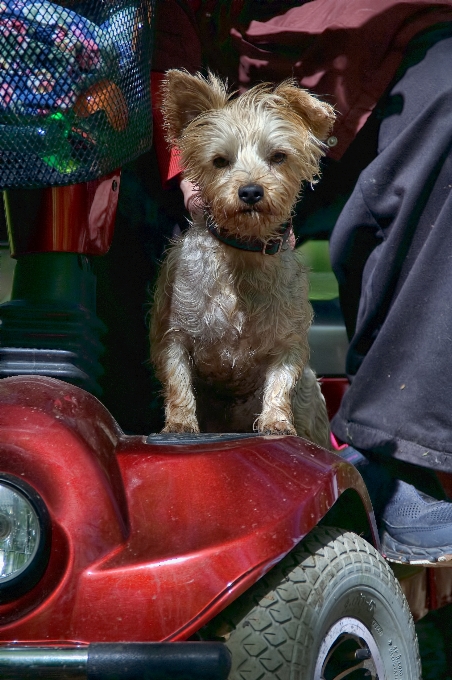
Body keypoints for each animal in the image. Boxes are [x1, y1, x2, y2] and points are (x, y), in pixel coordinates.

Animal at [152, 69, 336, 446]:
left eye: (278, 156)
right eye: (220, 161)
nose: (250, 191)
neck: (242, 253)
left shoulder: (287, 343)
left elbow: (280, 385)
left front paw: (277, 423)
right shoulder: (173, 334)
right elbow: (178, 383)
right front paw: (179, 424)